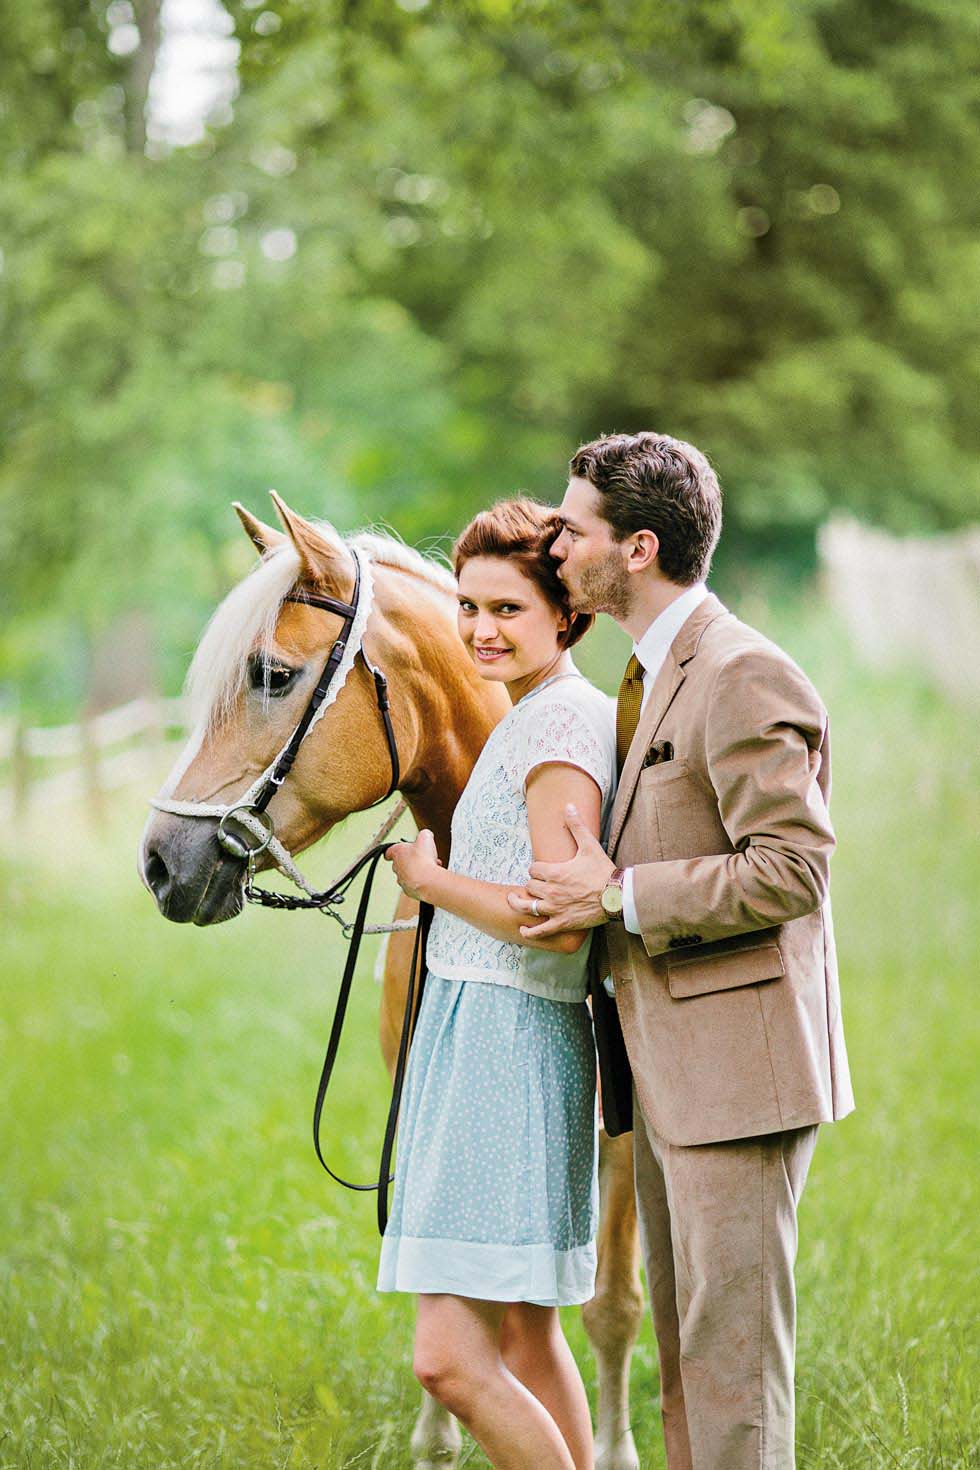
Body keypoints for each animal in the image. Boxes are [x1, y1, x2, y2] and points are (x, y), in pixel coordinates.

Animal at [135, 496, 643, 1470]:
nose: (159, 863)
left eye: (270, 674)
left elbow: (612, 1308)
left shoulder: (628, 1145)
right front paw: (439, 1438)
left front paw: (618, 1445)